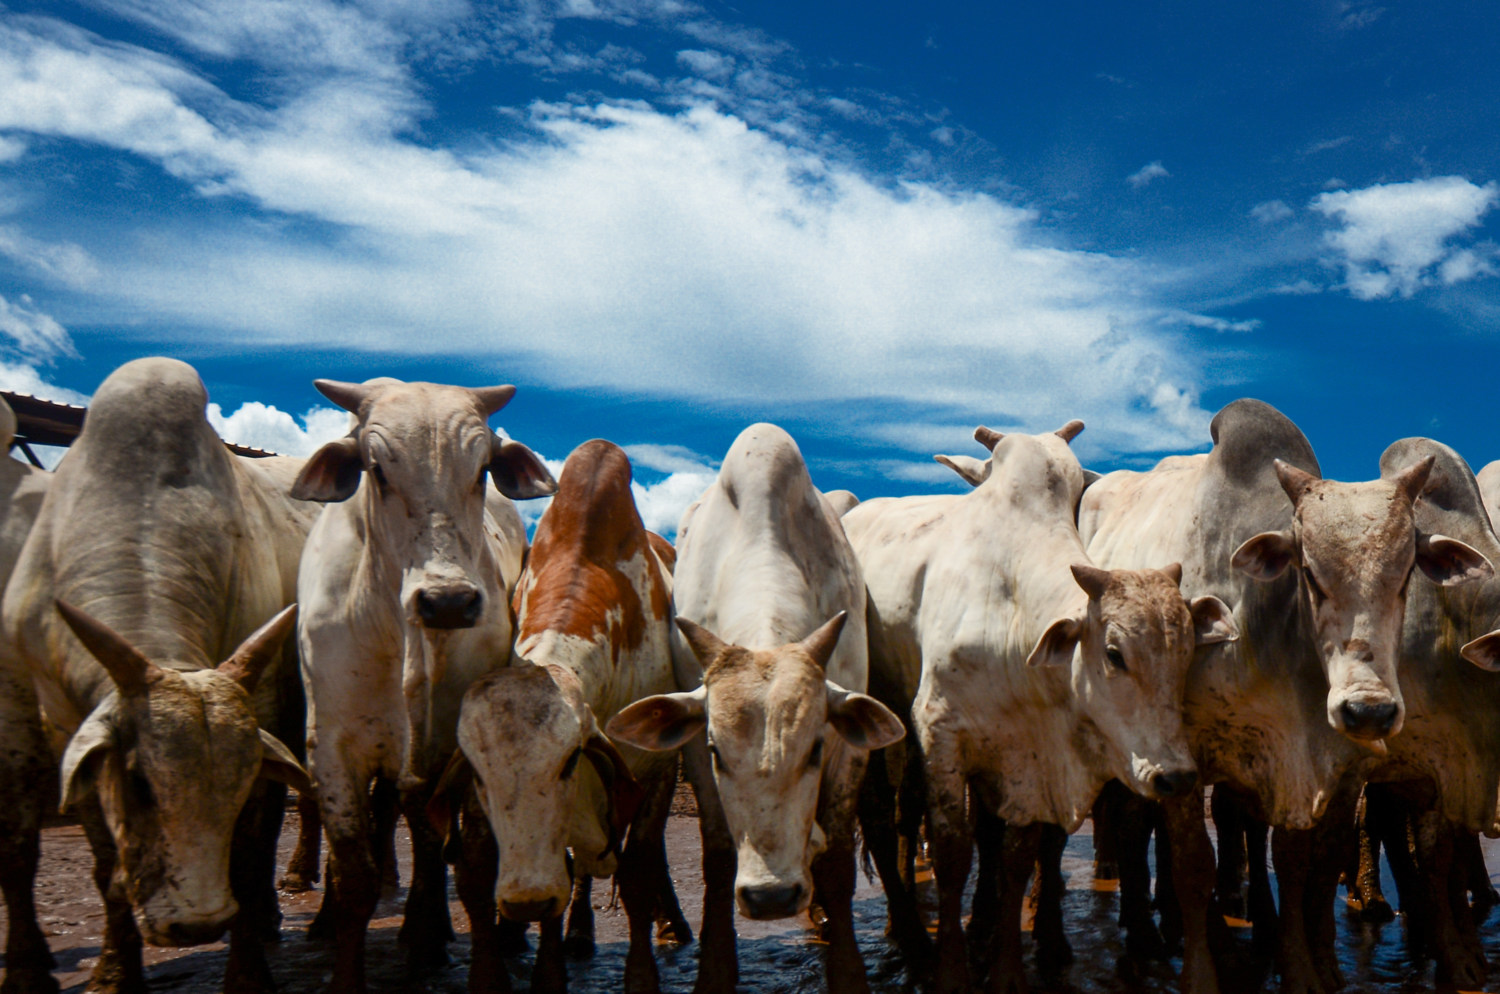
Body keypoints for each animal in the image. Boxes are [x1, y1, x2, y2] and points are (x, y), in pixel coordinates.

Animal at [2, 359, 313, 994]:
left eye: (235, 783)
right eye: (138, 781)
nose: (198, 924)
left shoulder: (263, 713)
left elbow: (248, 851)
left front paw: (248, 974)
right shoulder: (59, 723)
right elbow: (100, 864)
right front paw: (111, 970)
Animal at [289, 374, 555, 994]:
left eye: (481, 470)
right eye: (377, 469)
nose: (448, 601)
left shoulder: (470, 744)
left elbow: (477, 867)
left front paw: (488, 974)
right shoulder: (331, 749)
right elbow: (356, 876)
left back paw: (428, 934)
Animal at [606, 422, 900, 994]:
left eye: (813, 749)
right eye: (719, 753)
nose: (771, 897)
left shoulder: (849, 749)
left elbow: (835, 862)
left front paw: (847, 969)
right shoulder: (694, 751)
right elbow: (719, 856)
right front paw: (715, 971)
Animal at [840, 422, 1236, 994]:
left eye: (1186, 655)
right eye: (1114, 654)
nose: (1177, 776)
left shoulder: (1027, 753)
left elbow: (1017, 853)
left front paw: (1006, 966)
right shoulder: (939, 732)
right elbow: (954, 853)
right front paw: (953, 970)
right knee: (880, 817)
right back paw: (908, 938)